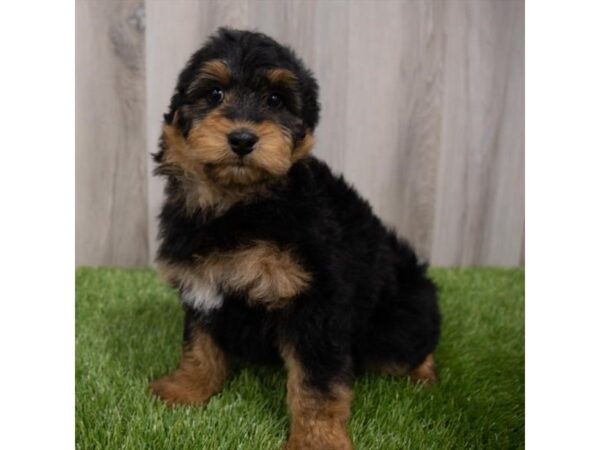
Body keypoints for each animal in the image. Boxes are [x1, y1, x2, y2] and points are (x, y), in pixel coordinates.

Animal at [150, 29, 440, 450]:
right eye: (214, 93)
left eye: (275, 100)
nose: (242, 139)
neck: (240, 205)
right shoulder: (201, 284)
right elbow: (199, 346)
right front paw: (186, 388)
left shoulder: (315, 302)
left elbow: (315, 381)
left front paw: (317, 438)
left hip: (397, 320)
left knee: (413, 345)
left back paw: (424, 375)